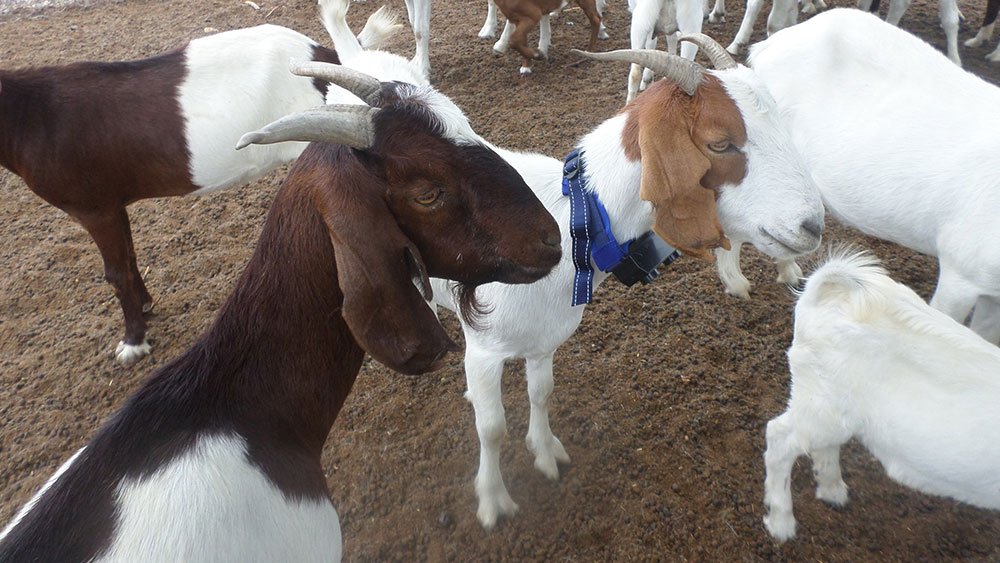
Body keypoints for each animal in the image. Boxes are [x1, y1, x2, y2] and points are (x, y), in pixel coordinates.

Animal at [0, 4, 398, 366]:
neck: (33, 115)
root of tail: (324, 56)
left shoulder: (93, 207)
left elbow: (116, 274)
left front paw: (133, 343)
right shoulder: (114, 204)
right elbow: (129, 258)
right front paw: (146, 307)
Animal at [432, 35, 828, 528]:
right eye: (719, 143)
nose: (813, 225)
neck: (572, 223)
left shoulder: (544, 340)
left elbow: (541, 394)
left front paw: (545, 453)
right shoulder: (486, 350)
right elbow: (491, 429)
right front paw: (492, 501)